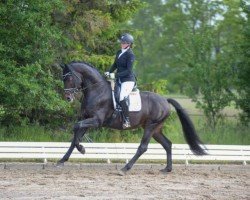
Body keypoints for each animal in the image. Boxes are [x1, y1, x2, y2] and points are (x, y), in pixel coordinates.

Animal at [58, 60, 207, 173]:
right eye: (63, 78)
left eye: (69, 78)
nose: (68, 97)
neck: (96, 91)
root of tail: (165, 100)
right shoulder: (86, 119)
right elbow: (75, 137)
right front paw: (62, 160)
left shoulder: (96, 121)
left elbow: (76, 129)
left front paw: (82, 149)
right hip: (156, 129)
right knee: (167, 144)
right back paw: (167, 169)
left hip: (150, 126)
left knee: (143, 147)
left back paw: (125, 168)